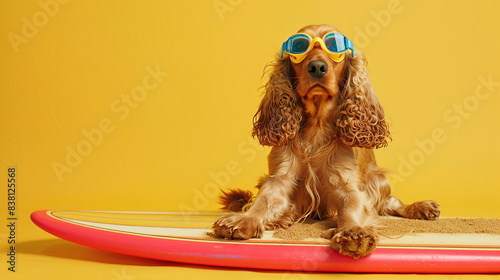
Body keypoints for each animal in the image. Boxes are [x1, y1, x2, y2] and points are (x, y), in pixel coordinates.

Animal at [213, 24, 440, 258]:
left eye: (334, 46)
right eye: (299, 47)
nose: (317, 67)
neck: (317, 127)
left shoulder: (346, 183)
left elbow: (351, 208)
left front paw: (353, 233)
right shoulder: (280, 177)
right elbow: (263, 201)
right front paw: (244, 220)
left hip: (378, 180)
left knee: (391, 203)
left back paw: (421, 207)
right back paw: (285, 217)